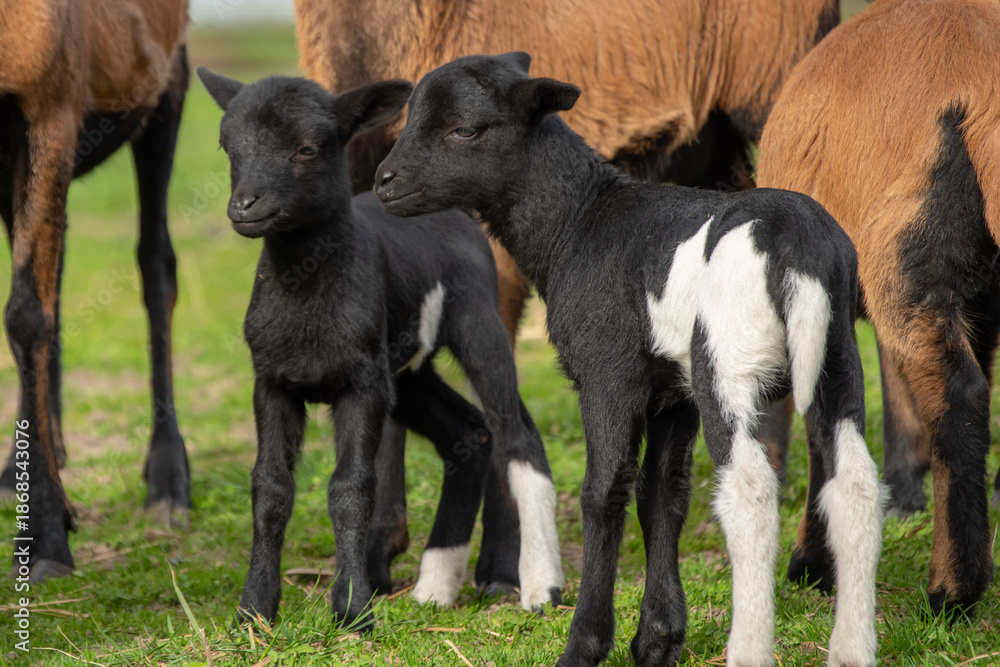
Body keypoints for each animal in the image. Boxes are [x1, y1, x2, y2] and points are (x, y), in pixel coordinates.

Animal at [0, 0, 190, 581]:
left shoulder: (50, 104)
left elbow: (24, 316)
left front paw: (43, 540)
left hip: (165, 83)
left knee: (156, 262)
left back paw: (168, 484)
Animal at [195, 67, 563, 627]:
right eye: (228, 147)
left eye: (307, 148)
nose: (244, 206)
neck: (304, 289)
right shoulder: (273, 380)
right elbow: (270, 489)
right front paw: (255, 609)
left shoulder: (362, 383)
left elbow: (350, 488)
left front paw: (352, 608)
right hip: (406, 373)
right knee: (471, 433)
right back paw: (435, 585)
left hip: (478, 322)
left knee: (515, 434)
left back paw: (537, 586)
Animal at [293, 0, 840, 592]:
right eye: (410, 120)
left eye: (465, 129)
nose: (386, 181)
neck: (581, 217)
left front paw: (504, 565)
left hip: (772, 92)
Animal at [375, 52, 884, 667]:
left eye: (465, 130)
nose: (383, 182)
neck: (575, 223)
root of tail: (798, 246)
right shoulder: (671, 395)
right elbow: (662, 495)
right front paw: (658, 641)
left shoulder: (607, 374)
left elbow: (604, 492)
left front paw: (585, 644)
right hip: (838, 358)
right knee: (855, 488)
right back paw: (852, 649)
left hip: (728, 359)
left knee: (750, 492)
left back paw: (748, 647)